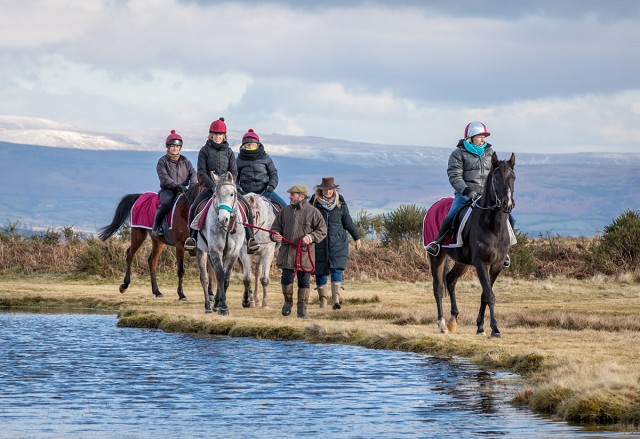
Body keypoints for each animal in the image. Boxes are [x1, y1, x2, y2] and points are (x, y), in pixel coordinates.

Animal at [195, 171, 245, 315]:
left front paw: (220, 304)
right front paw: (223, 307)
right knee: (205, 278)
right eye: (215, 195)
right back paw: (208, 306)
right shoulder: (215, 251)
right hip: (202, 251)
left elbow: (226, 278)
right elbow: (220, 276)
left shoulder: (233, 253)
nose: (223, 219)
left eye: (232, 194)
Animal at [426, 152, 516, 338]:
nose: (507, 204)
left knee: (450, 280)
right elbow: (489, 295)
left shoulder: (496, 265)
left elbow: (485, 295)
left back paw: (453, 320)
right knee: (438, 287)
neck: (493, 225)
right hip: (437, 257)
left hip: (462, 262)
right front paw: (495, 329)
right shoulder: (481, 263)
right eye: (496, 178)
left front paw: (481, 327)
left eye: (513, 177)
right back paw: (442, 324)